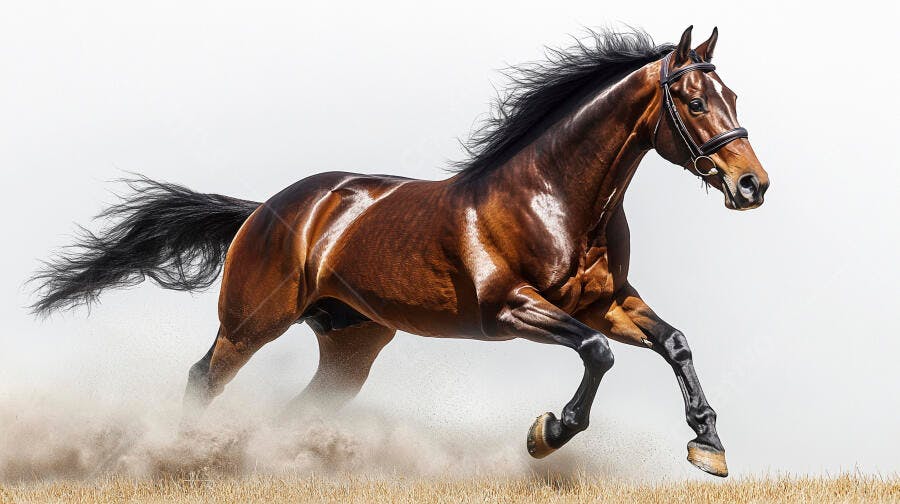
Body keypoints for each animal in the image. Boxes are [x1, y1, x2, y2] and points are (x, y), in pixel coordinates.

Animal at [31, 26, 768, 477]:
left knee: (299, 406)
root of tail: (264, 210)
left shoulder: (609, 302)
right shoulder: (511, 308)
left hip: (351, 344)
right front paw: (549, 433)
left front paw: (708, 446)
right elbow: (597, 353)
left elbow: (673, 342)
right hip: (251, 323)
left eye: (732, 94)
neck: (555, 198)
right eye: (693, 100)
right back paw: (182, 457)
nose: (752, 184)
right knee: (202, 378)